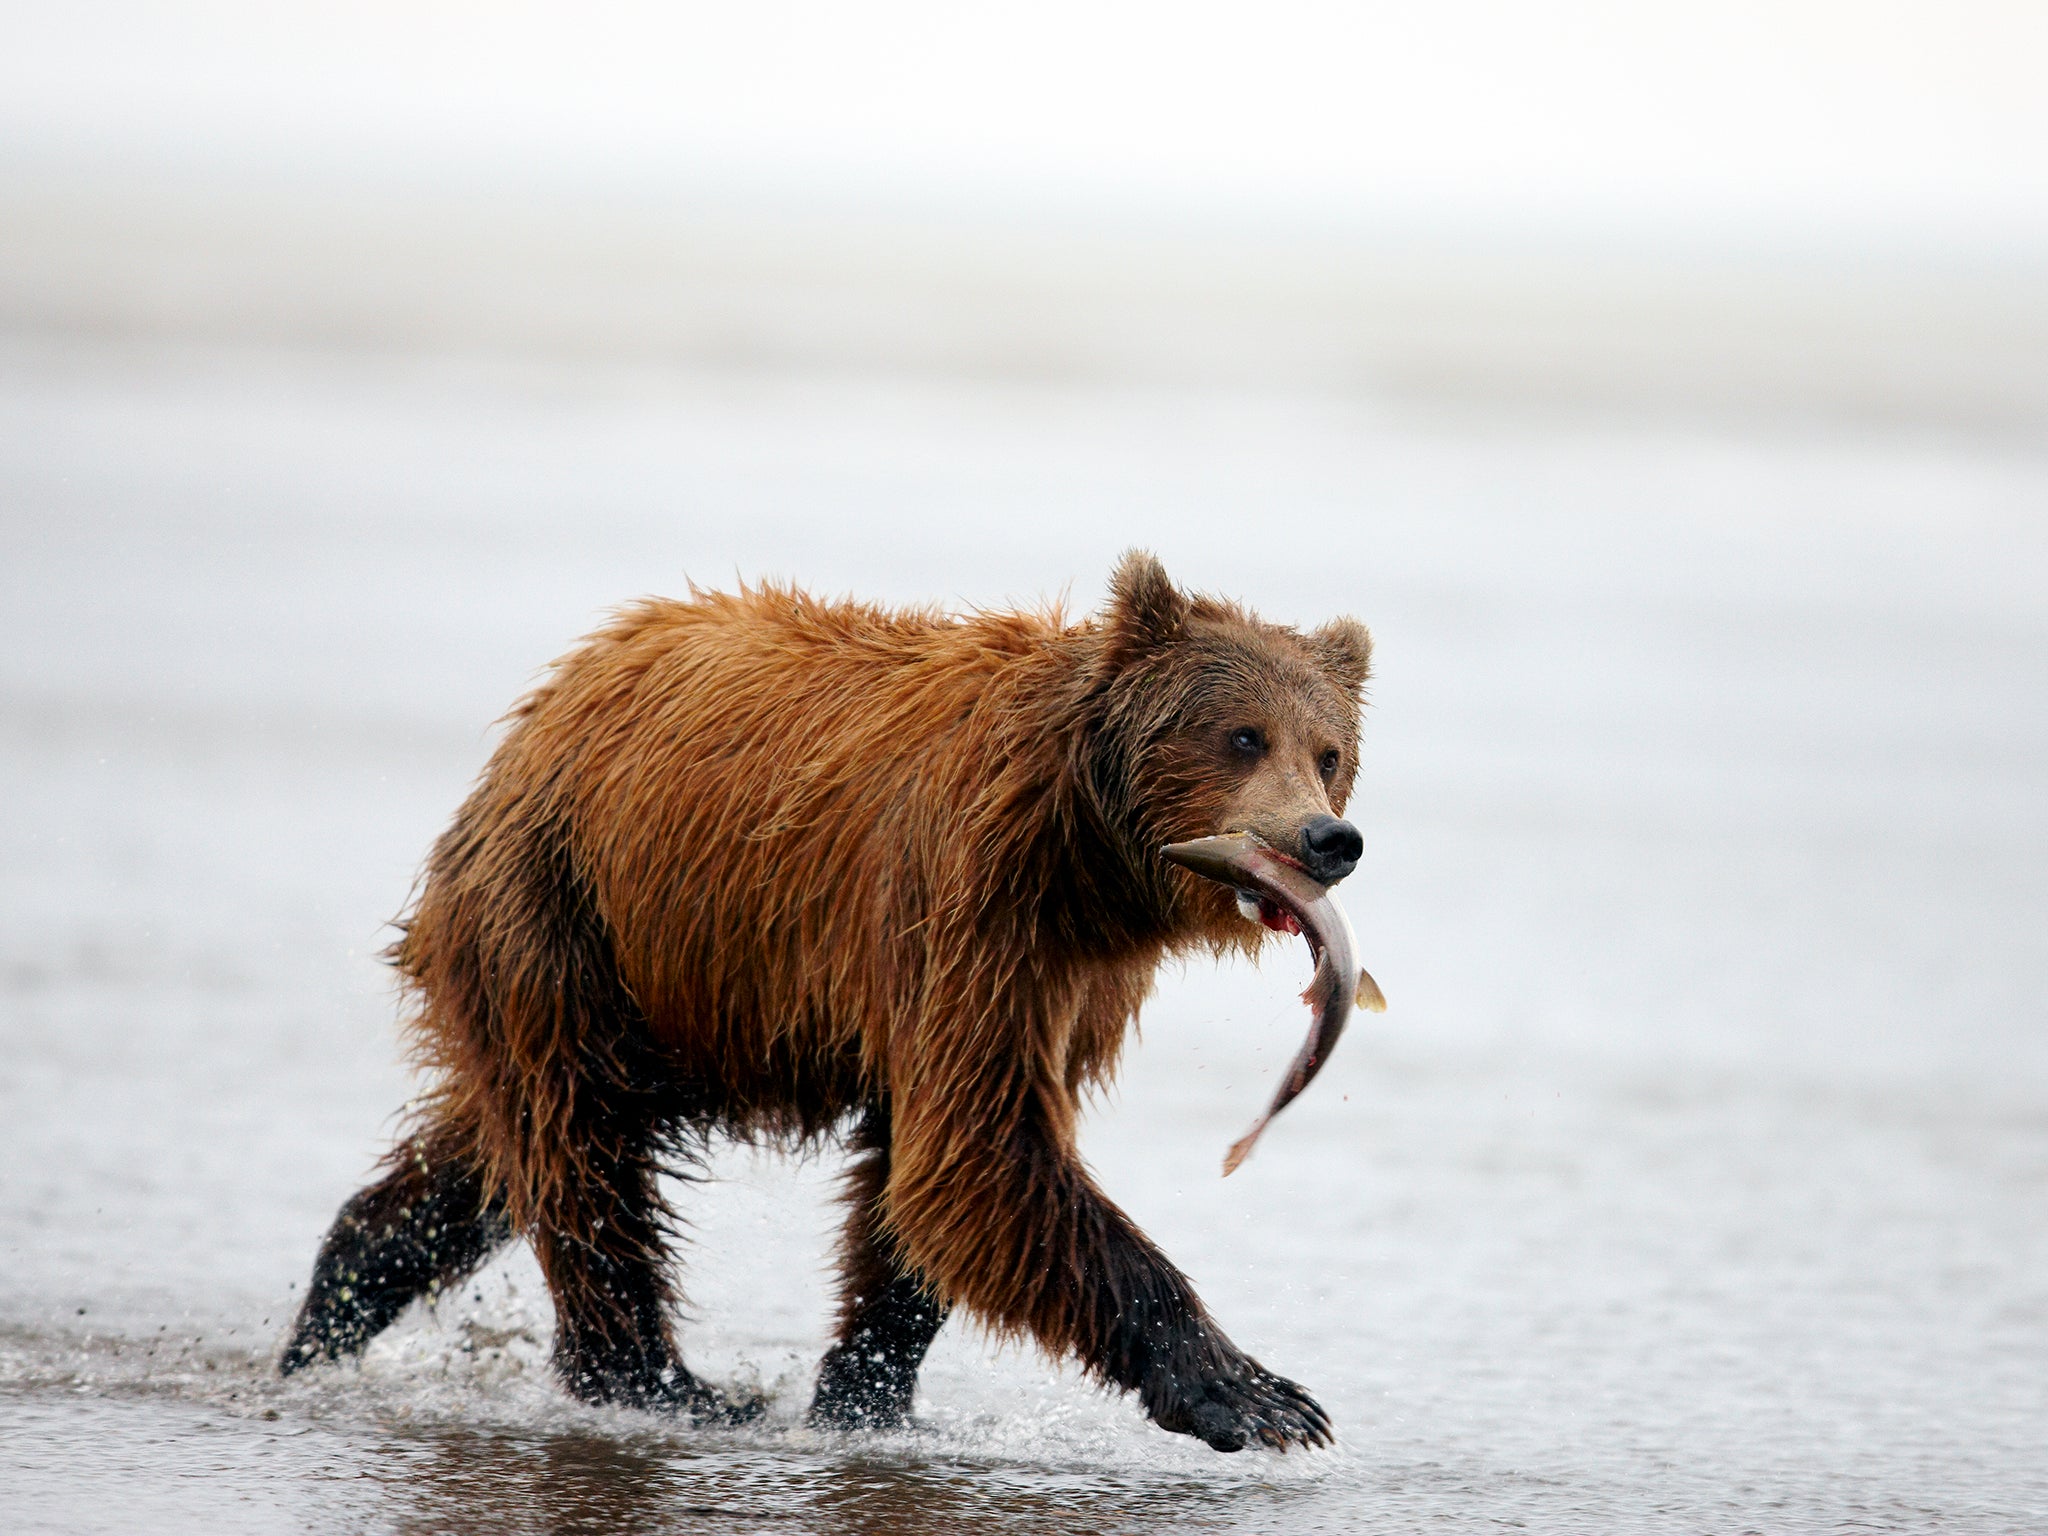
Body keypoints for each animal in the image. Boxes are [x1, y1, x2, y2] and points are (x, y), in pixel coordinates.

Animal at [284, 552, 1376, 1458]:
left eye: (1328, 750)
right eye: (1242, 735)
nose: (1325, 839)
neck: (1090, 858)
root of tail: (547, 706)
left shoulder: (1071, 980)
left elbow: (921, 1180)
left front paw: (865, 1395)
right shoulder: (969, 907)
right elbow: (980, 1151)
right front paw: (1261, 1397)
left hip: (648, 986)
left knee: (489, 1153)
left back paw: (331, 1309)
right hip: (565, 909)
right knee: (584, 1157)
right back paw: (665, 1384)